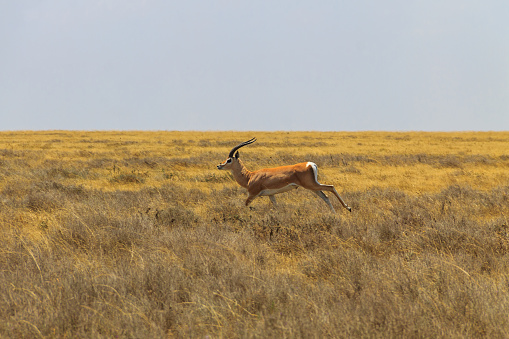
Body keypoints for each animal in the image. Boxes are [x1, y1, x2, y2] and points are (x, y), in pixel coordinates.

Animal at [216, 137, 352, 212]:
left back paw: (348, 208)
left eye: (229, 160)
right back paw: (335, 213)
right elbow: (276, 207)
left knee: (331, 187)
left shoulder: (252, 194)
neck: (250, 176)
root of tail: (311, 164)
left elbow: (245, 206)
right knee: (325, 197)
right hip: (313, 186)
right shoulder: (271, 195)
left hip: (311, 185)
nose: (219, 165)